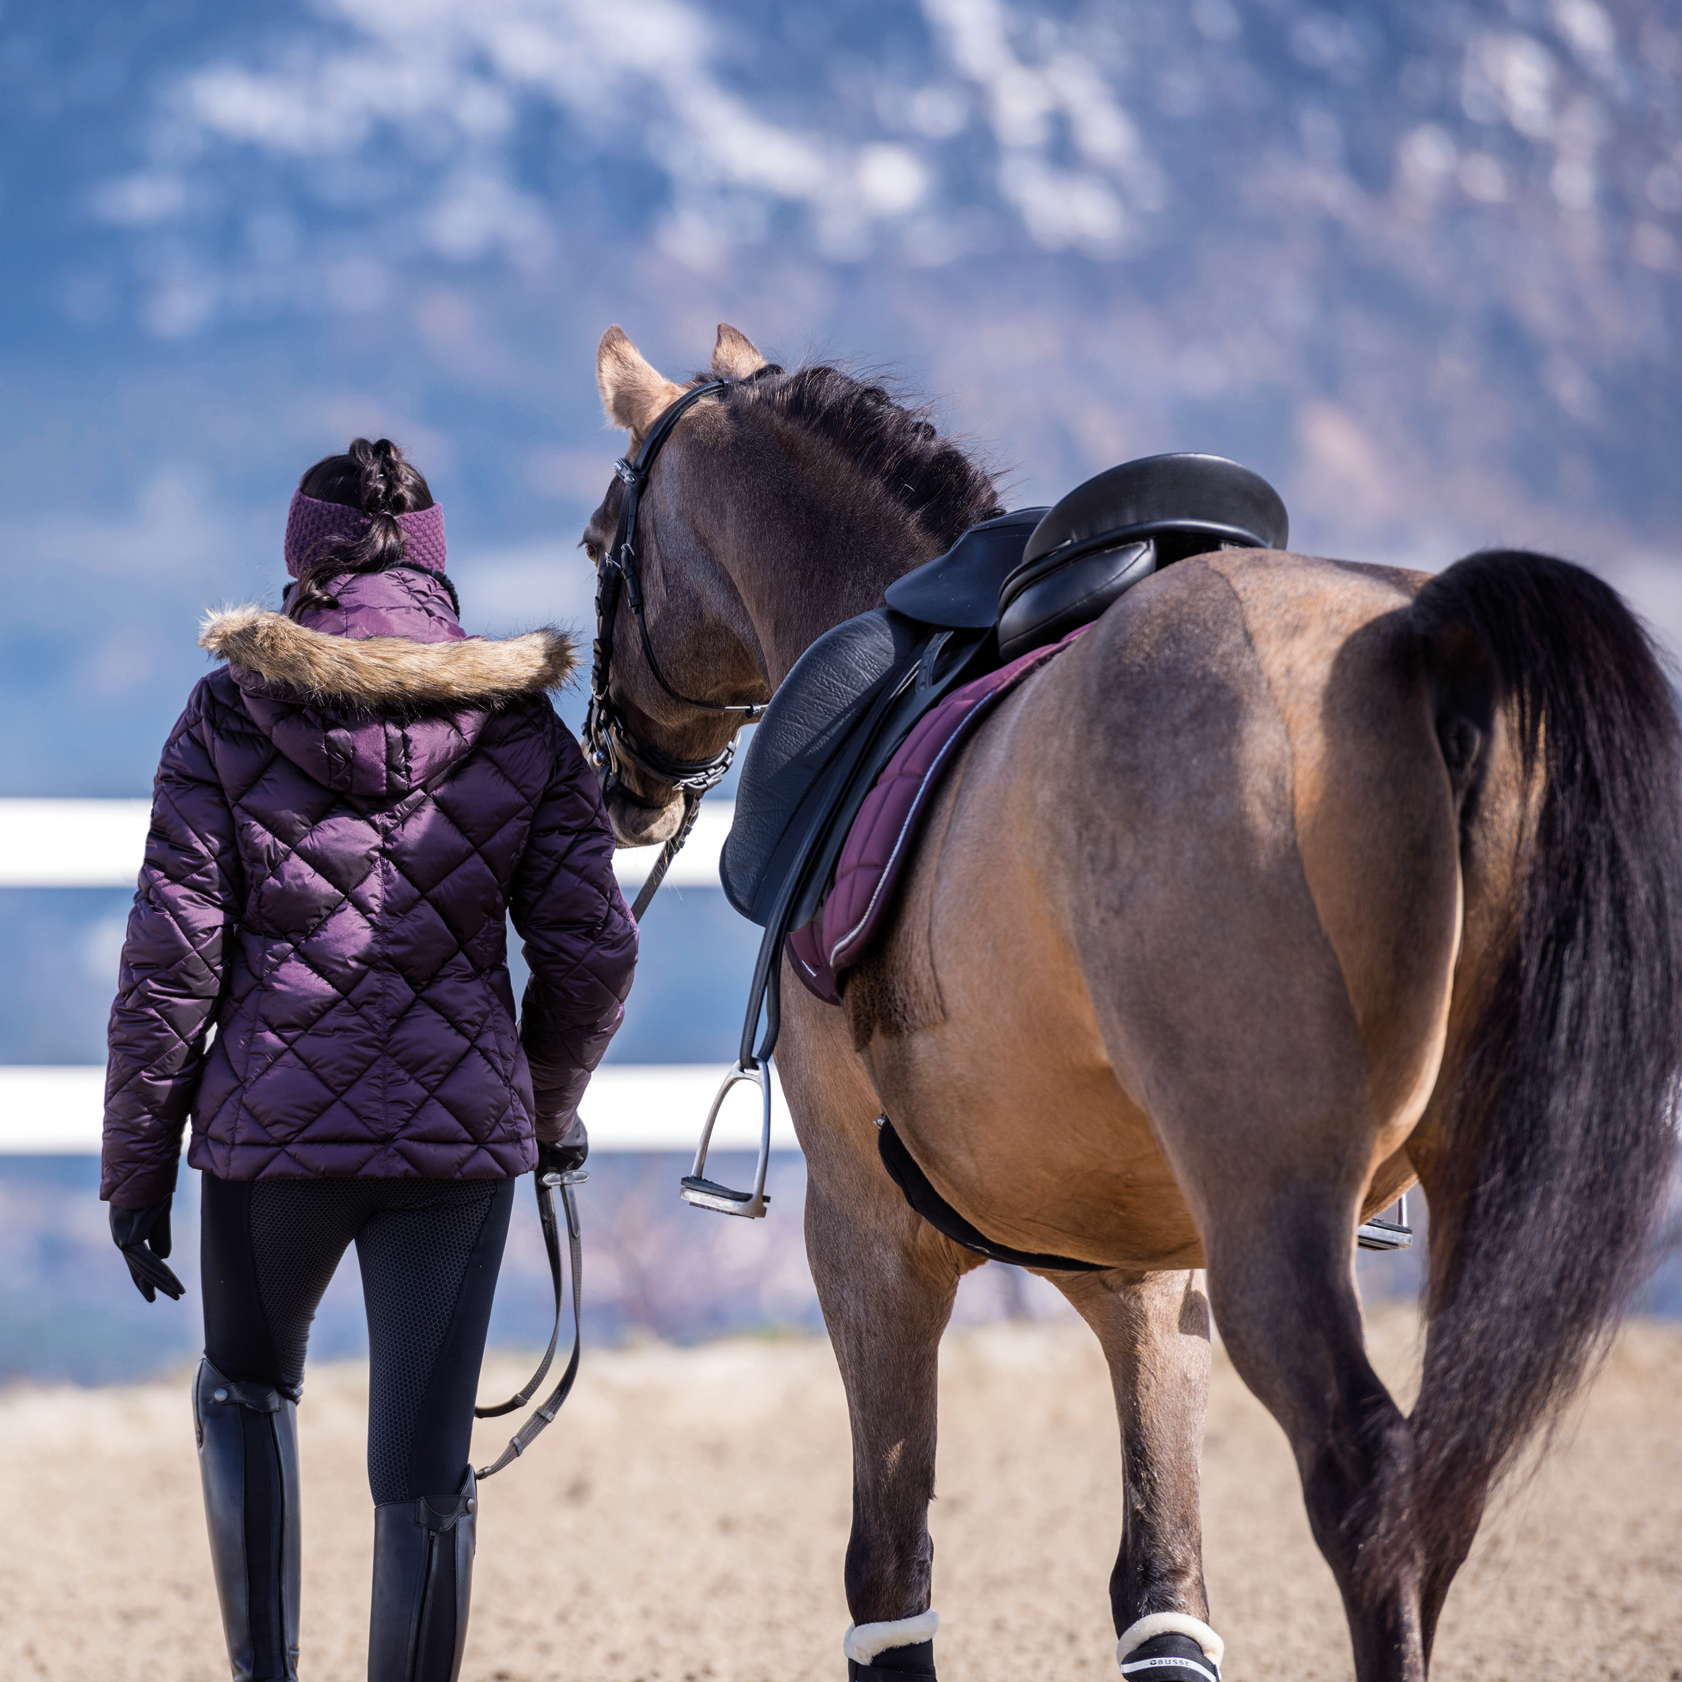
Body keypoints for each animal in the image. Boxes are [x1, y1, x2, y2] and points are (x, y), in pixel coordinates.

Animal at [575, 317, 1682, 1682]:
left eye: (599, 543)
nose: (614, 779)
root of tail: (1425, 640)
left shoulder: (866, 1235)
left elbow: (889, 1579)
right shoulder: (1148, 1275)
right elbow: (1162, 1589)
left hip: (1274, 1217)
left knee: (1372, 1492)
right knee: (1443, 1484)